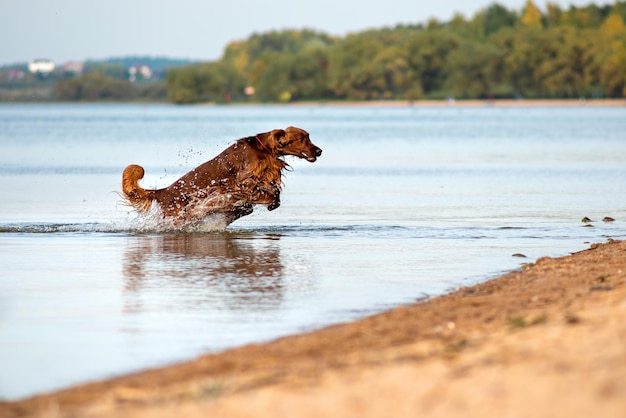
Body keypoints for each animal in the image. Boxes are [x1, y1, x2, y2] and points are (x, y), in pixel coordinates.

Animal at [120, 125, 322, 225]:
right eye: (302, 139)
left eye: (309, 137)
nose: (319, 151)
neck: (263, 149)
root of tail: (162, 192)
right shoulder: (243, 180)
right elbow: (262, 193)